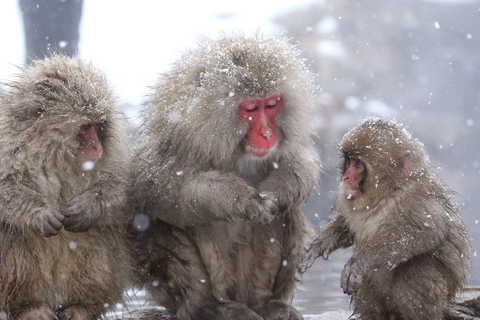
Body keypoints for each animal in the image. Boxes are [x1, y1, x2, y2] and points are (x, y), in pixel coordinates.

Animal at [0, 55, 131, 320]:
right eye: (85, 128)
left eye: (100, 126)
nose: (96, 147)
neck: (52, 155)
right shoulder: (6, 142)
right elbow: (4, 186)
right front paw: (39, 212)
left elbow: (127, 188)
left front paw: (89, 207)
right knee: (11, 232)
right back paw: (28, 307)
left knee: (104, 235)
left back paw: (82, 306)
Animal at [129, 33, 320, 318]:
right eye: (250, 109)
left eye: (271, 105)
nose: (267, 134)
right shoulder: (175, 137)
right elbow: (152, 188)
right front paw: (238, 198)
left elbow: (302, 160)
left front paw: (278, 190)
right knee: (163, 227)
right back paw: (208, 306)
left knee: (286, 214)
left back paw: (264, 303)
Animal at [300, 117, 468, 320]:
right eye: (349, 161)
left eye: (358, 165)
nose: (346, 177)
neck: (387, 192)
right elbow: (346, 225)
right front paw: (321, 244)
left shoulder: (418, 202)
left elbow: (423, 233)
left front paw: (359, 261)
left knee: (416, 267)